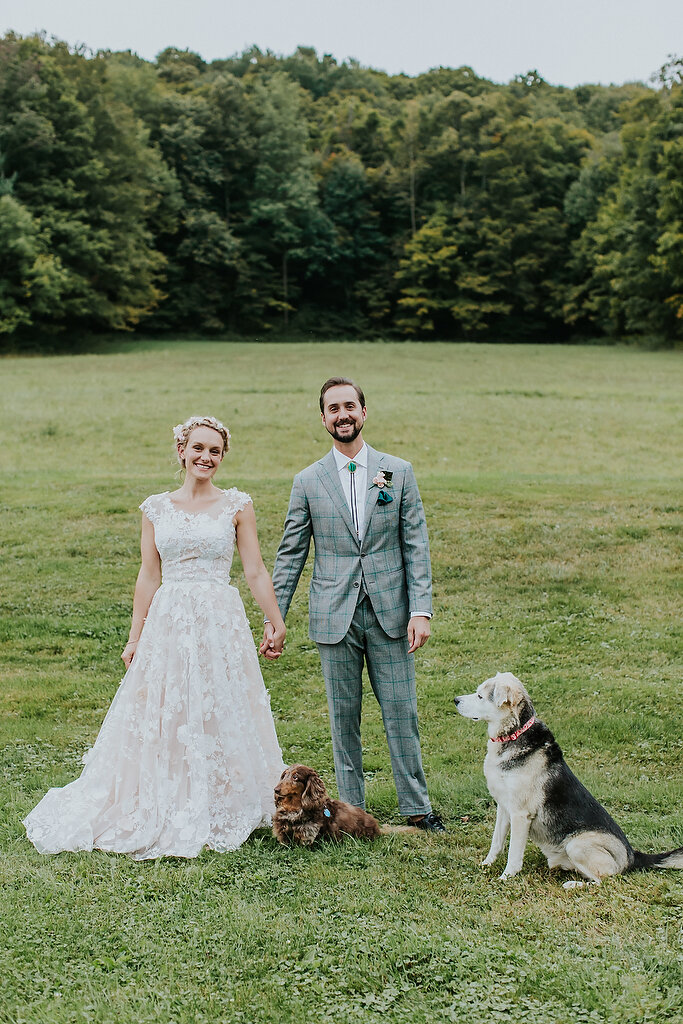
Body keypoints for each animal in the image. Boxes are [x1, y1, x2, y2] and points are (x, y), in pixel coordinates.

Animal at [454, 675, 683, 884]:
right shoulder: (503, 807)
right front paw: (486, 864)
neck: (513, 735)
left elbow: (514, 853)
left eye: (480, 696)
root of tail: (633, 856)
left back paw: (573, 884)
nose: (455, 699)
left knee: (604, 880)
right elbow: (497, 842)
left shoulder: (520, 814)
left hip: (577, 844)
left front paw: (506, 877)